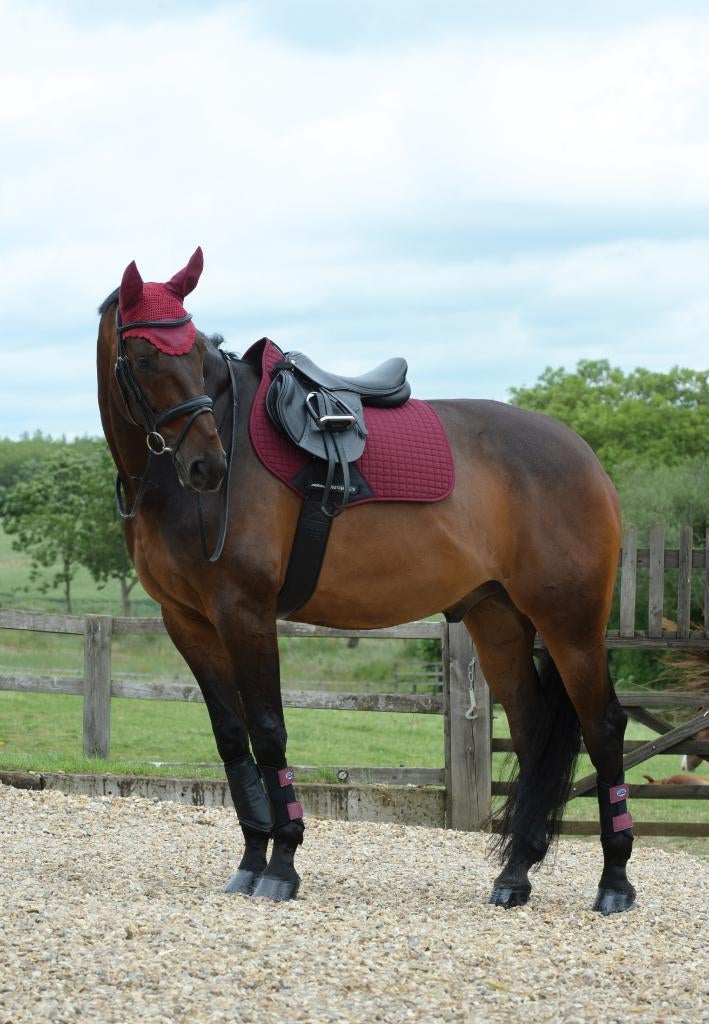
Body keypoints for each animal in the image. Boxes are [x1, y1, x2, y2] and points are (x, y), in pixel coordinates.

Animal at [96, 248, 635, 915]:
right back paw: (515, 874)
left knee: (603, 727)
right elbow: (232, 739)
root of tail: (585, 458)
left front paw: (282, 863)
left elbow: (268, 732)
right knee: (535, 733)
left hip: (571, 625)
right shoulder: (188, 622)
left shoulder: (246, 613)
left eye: (197, 355)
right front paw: (250, 860)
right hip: (500, 621)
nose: (207, 466)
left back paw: (615, 882)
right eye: (146, 358)